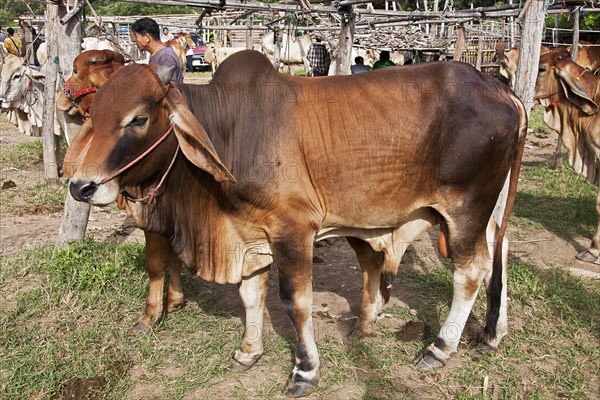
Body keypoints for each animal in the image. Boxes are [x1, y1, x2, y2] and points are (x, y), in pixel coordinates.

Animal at [64, 50, 524, 396]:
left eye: (138, 119)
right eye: (94, 113)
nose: (81, 187)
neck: (232, 132)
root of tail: (501, 88)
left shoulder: (293, 230)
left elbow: (294, 301)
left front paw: (305, 370)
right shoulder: (251, 234)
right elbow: (251, 295)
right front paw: (248, 352)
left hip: (465, 209)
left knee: (470, 272)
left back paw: (440, 347)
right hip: (489, 209)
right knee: (499, 254)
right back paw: (492, 333)